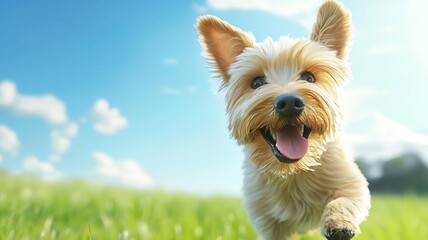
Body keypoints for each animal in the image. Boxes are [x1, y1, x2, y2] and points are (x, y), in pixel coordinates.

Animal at [196, 0, 370, 240]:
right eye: (257, 82)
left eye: (309, 77)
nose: (288, 102)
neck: (292, 171)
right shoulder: (267, 219)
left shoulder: (349, 181)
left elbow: (344, 199)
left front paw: (339, 223)